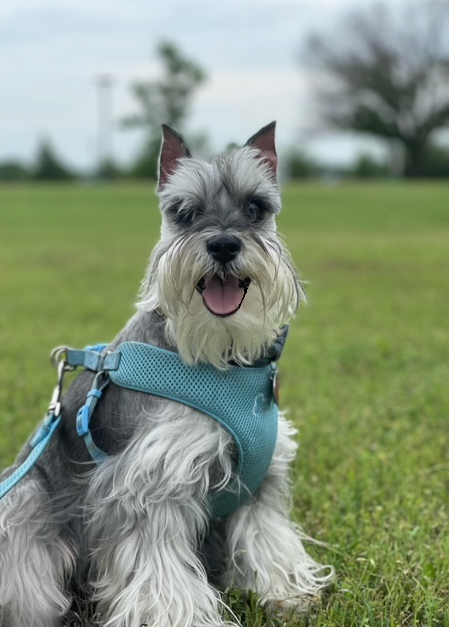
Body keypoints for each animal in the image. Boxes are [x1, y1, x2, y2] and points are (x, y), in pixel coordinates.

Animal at [0, 124, 332, 627]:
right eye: (184, 212)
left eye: (256, 208)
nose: (223, 245)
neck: (222, 357)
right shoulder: (148, 487)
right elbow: (158, 572)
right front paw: (176, 616)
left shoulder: (261, 483)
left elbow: (268, 537)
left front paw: (286, 593)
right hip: (25, 508)